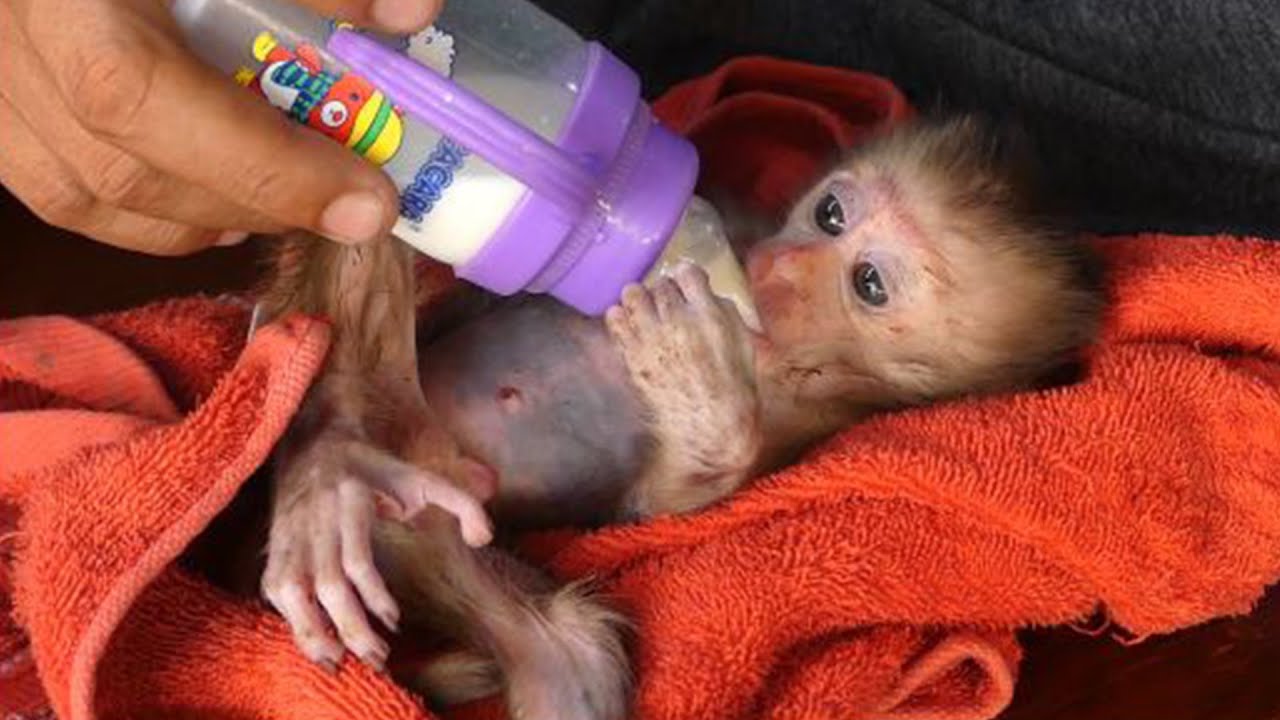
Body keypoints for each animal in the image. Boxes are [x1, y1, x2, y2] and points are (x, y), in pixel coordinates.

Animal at [227, 115, 1105, 720]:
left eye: (870, 284)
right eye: (830, 215)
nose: (783, 264)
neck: (774, 343)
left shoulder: (802, 432)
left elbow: (662, 502)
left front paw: (694, 386)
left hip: (438, 533)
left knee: (568, 653)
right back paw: (325, 467)